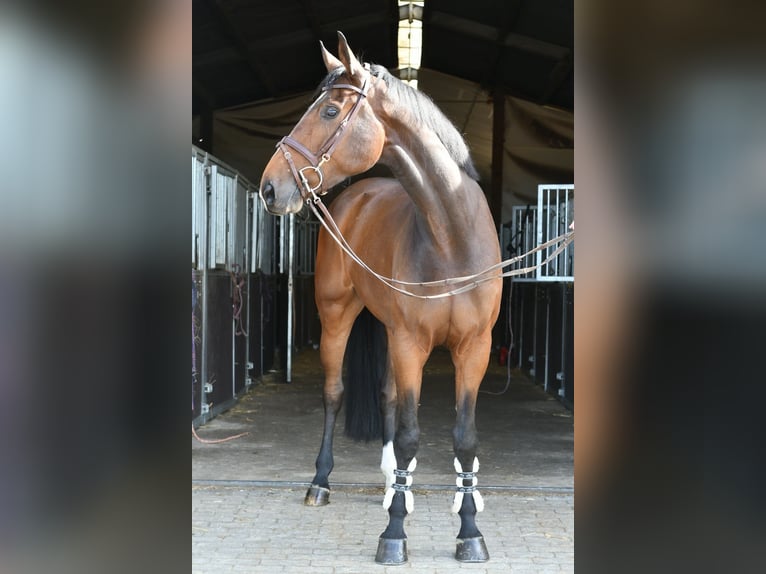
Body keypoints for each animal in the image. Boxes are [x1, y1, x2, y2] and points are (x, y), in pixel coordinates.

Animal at [259, 32, 502, 565]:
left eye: (331, 110)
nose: (270, 187)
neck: (451, 238)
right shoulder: (411, 342)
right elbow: (410, 434)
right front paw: (393, 536)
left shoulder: (473, 347)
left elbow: (465, 438)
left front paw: (469, 533)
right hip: (338, 318)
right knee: (335, 394)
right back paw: (322, 483)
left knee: (389, 398)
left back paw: (399, 490)